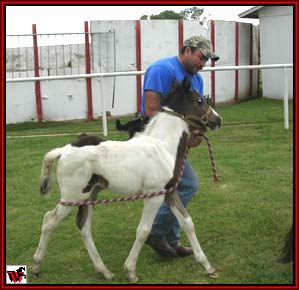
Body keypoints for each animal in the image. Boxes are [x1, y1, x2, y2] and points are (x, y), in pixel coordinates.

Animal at [33, 77, 223, 284]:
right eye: (199, 100)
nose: (218, 120)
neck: (163, 145)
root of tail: (63, 150)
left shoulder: (169, 192)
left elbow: (187, 222)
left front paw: (207, 266)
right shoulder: (154, 196)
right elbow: (143, 230)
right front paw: (130, 271)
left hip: (90, 194)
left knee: (84, 226)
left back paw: (104, 271)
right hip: (73, 196)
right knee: (49, 220)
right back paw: (36, 266)